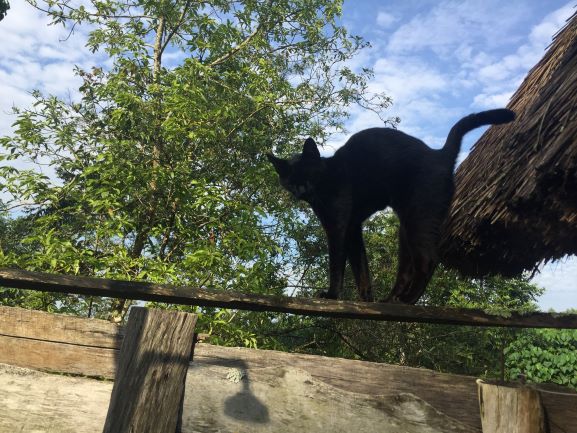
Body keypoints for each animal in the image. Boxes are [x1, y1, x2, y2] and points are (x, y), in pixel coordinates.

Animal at [268, 109, 516, 304]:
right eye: (289, 180)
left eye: (307, 174)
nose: (299, 190)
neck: (326, 178)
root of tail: (439, 154)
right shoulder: (353, 228)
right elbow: (361, 268)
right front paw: (366, 299)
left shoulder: (337, 227)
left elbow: (336, 264)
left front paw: (331, 295)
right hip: (405, 229)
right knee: (407, 270)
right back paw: (390, 300)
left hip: (417, 219)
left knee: (428, 259)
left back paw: (408, 299)